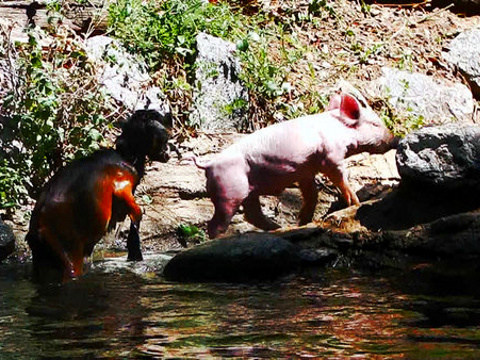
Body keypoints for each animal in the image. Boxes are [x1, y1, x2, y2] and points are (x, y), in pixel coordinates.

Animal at [26, 109, 172, 282]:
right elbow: (137, 214)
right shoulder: (122, 185)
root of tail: (38, 229)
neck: (126, 156)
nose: (168, 152)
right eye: (164, 137)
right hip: (68, 252)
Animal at [193, 94, 396, 238]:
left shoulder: (306, 171)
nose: (395, 139)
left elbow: (312, 195)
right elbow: (341, 179)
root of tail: (209, 164)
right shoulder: (331, 157)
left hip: (248, 191)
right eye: (375, 124)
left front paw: (303, 222)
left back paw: (278, 228)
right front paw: (355, 203)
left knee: (251, 214)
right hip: (229, 190)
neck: (339, 131)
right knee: (217, 223)